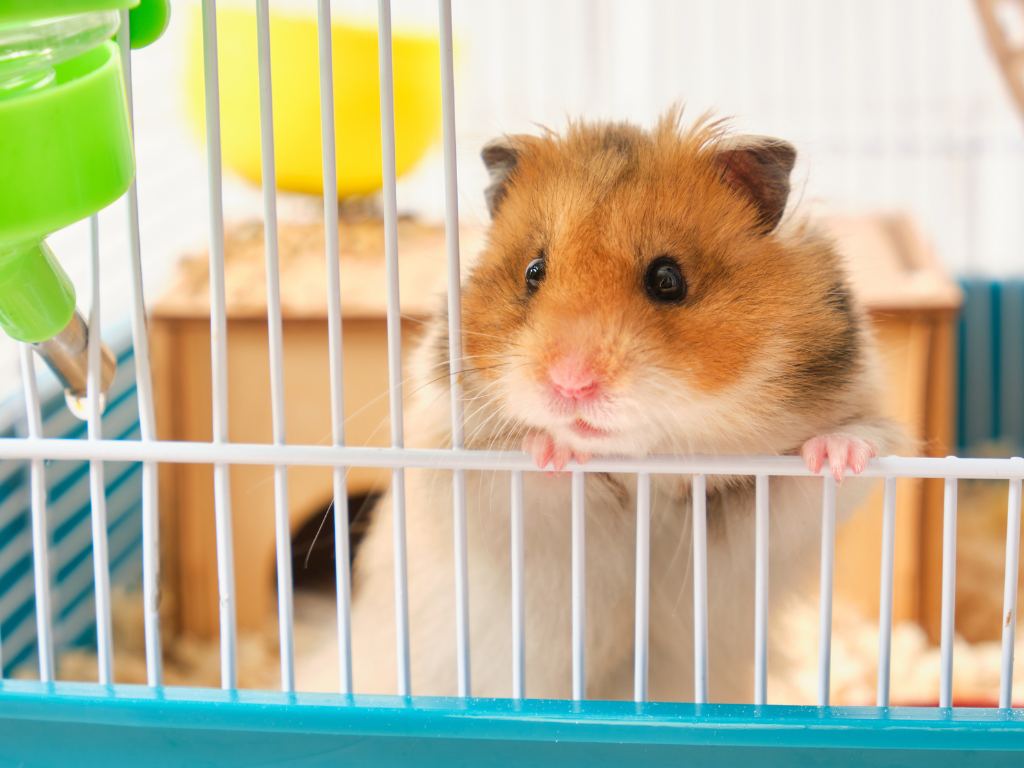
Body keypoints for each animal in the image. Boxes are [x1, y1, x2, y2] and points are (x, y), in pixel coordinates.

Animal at [349, 111, 903, 703]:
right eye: (533, 271)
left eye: (667, 279)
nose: (570, 383)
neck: (643, 475)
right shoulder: (472, 479)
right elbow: (531, 479)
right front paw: (553, 449)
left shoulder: (758, 518)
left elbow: (814, 468)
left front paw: (838, 456)